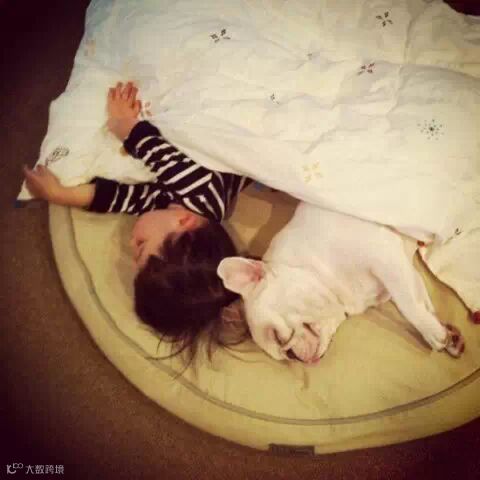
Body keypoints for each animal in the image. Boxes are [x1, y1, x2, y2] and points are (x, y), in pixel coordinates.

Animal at [218, 203, 465, 364]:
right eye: (284, 355)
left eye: (277, 337)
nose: (292, 356)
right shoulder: (404, 269)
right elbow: (420, 298)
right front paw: (444, 331)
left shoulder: (384, 256)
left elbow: (408, 304)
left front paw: (434, 333)